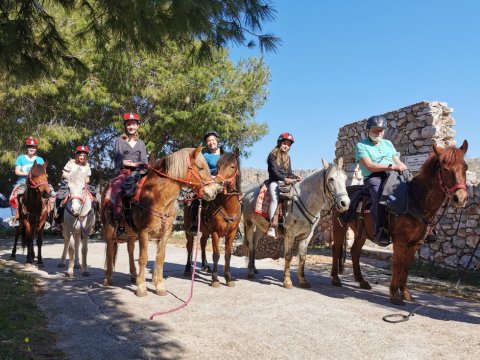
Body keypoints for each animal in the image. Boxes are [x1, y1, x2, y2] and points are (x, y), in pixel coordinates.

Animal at [103, 146, 219, 296]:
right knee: (110, 251)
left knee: (130, 250)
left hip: (131, 233)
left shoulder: (165, 234)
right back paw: (108, 279)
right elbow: (143, 258)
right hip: (110, 229)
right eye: (200, 167)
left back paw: (134, 276)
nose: (214, 192)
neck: (156, 196)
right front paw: (141, 288)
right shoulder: (143, 232)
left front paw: (159, 286)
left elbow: (160, 257)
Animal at [184, 149, 244, 286]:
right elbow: (216, 255)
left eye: (232, 166)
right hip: (188, 229)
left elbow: (228, 255)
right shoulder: (216, 232)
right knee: (189, 246)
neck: (227, 206)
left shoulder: (231, 233)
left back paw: (205, 265)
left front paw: (228, 278)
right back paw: (188, 268)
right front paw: (215, 279)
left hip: (206, 231)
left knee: (202, 243)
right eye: (218, 166)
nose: (218, 184)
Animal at [244, 159, 348, 288]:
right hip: (249, 224)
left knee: (255, 243)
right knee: (250, 245)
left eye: (345, 178)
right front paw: (287, 281)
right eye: (331, 179)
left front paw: (303, 280)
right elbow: (288, 256)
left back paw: (253, 268)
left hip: (260, 227)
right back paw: (250, 272)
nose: (345, 203)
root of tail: (247, 194)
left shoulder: (307, 235)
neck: (304, 200)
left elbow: (302, 257)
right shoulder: (290, 234)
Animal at [330, 141, 468, 304]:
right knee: (336, 249)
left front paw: (405, 293)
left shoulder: (415, 244)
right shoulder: (400, 242)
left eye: (465, 167)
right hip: (339, 227)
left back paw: (362, 281)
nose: (460, 198)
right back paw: (335, 279)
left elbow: (406, 268)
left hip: (362, 233)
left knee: (355, 252)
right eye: (445, 169)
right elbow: (397, 266)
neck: (414, 201)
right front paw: (394, 295)